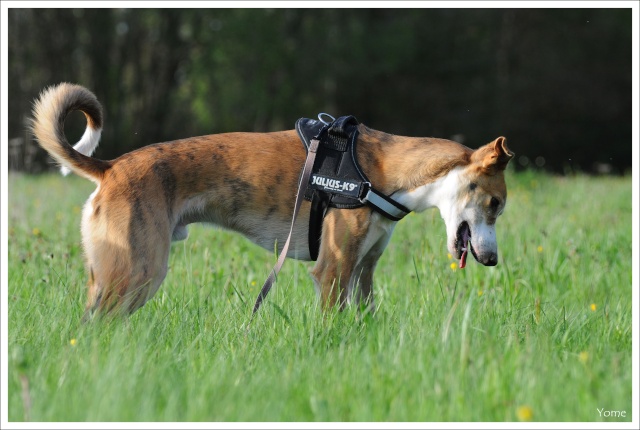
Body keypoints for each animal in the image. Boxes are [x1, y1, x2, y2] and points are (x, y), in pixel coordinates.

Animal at [30, 83, 516, 316]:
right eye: (495, 204)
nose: (493, 261)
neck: (383, 171)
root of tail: (111, 167)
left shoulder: (364, 270)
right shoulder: (333, 270)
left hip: (114, 274)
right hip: (139, 270)